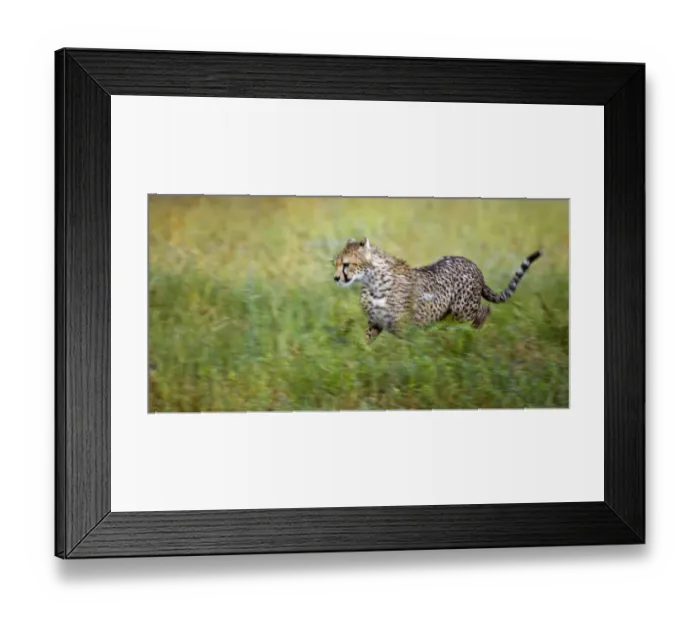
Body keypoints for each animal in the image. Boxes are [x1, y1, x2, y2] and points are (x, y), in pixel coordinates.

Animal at [332, 237, 542, 342]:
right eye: (335, 264)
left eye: (346, 264)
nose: (335, 278)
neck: (371, 281)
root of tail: (472, 264)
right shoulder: (375, 322)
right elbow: (367, 342)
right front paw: (362, 357)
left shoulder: (404, 324)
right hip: (448, 314)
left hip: (462, 310)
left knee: (484, 310)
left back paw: (471, 333)